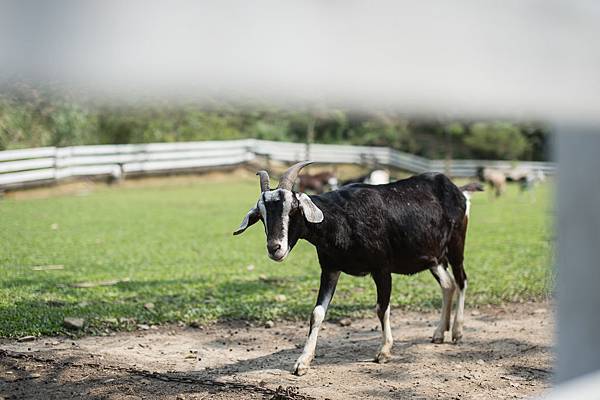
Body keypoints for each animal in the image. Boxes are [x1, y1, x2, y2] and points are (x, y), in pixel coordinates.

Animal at [233, 160, 482, 376]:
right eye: (261, 215)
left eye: (293, 208)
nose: (275, 248)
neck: (341, 220)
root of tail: (458, 190)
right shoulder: (330, 269)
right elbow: (317, 313)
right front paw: (302, 362)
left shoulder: (382, 268)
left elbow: (382, 308)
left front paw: (384, 352)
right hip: (433, 257)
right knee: (448, 284)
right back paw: (440, 333)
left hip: (456, 244)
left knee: (461, 280)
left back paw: (457, 331)